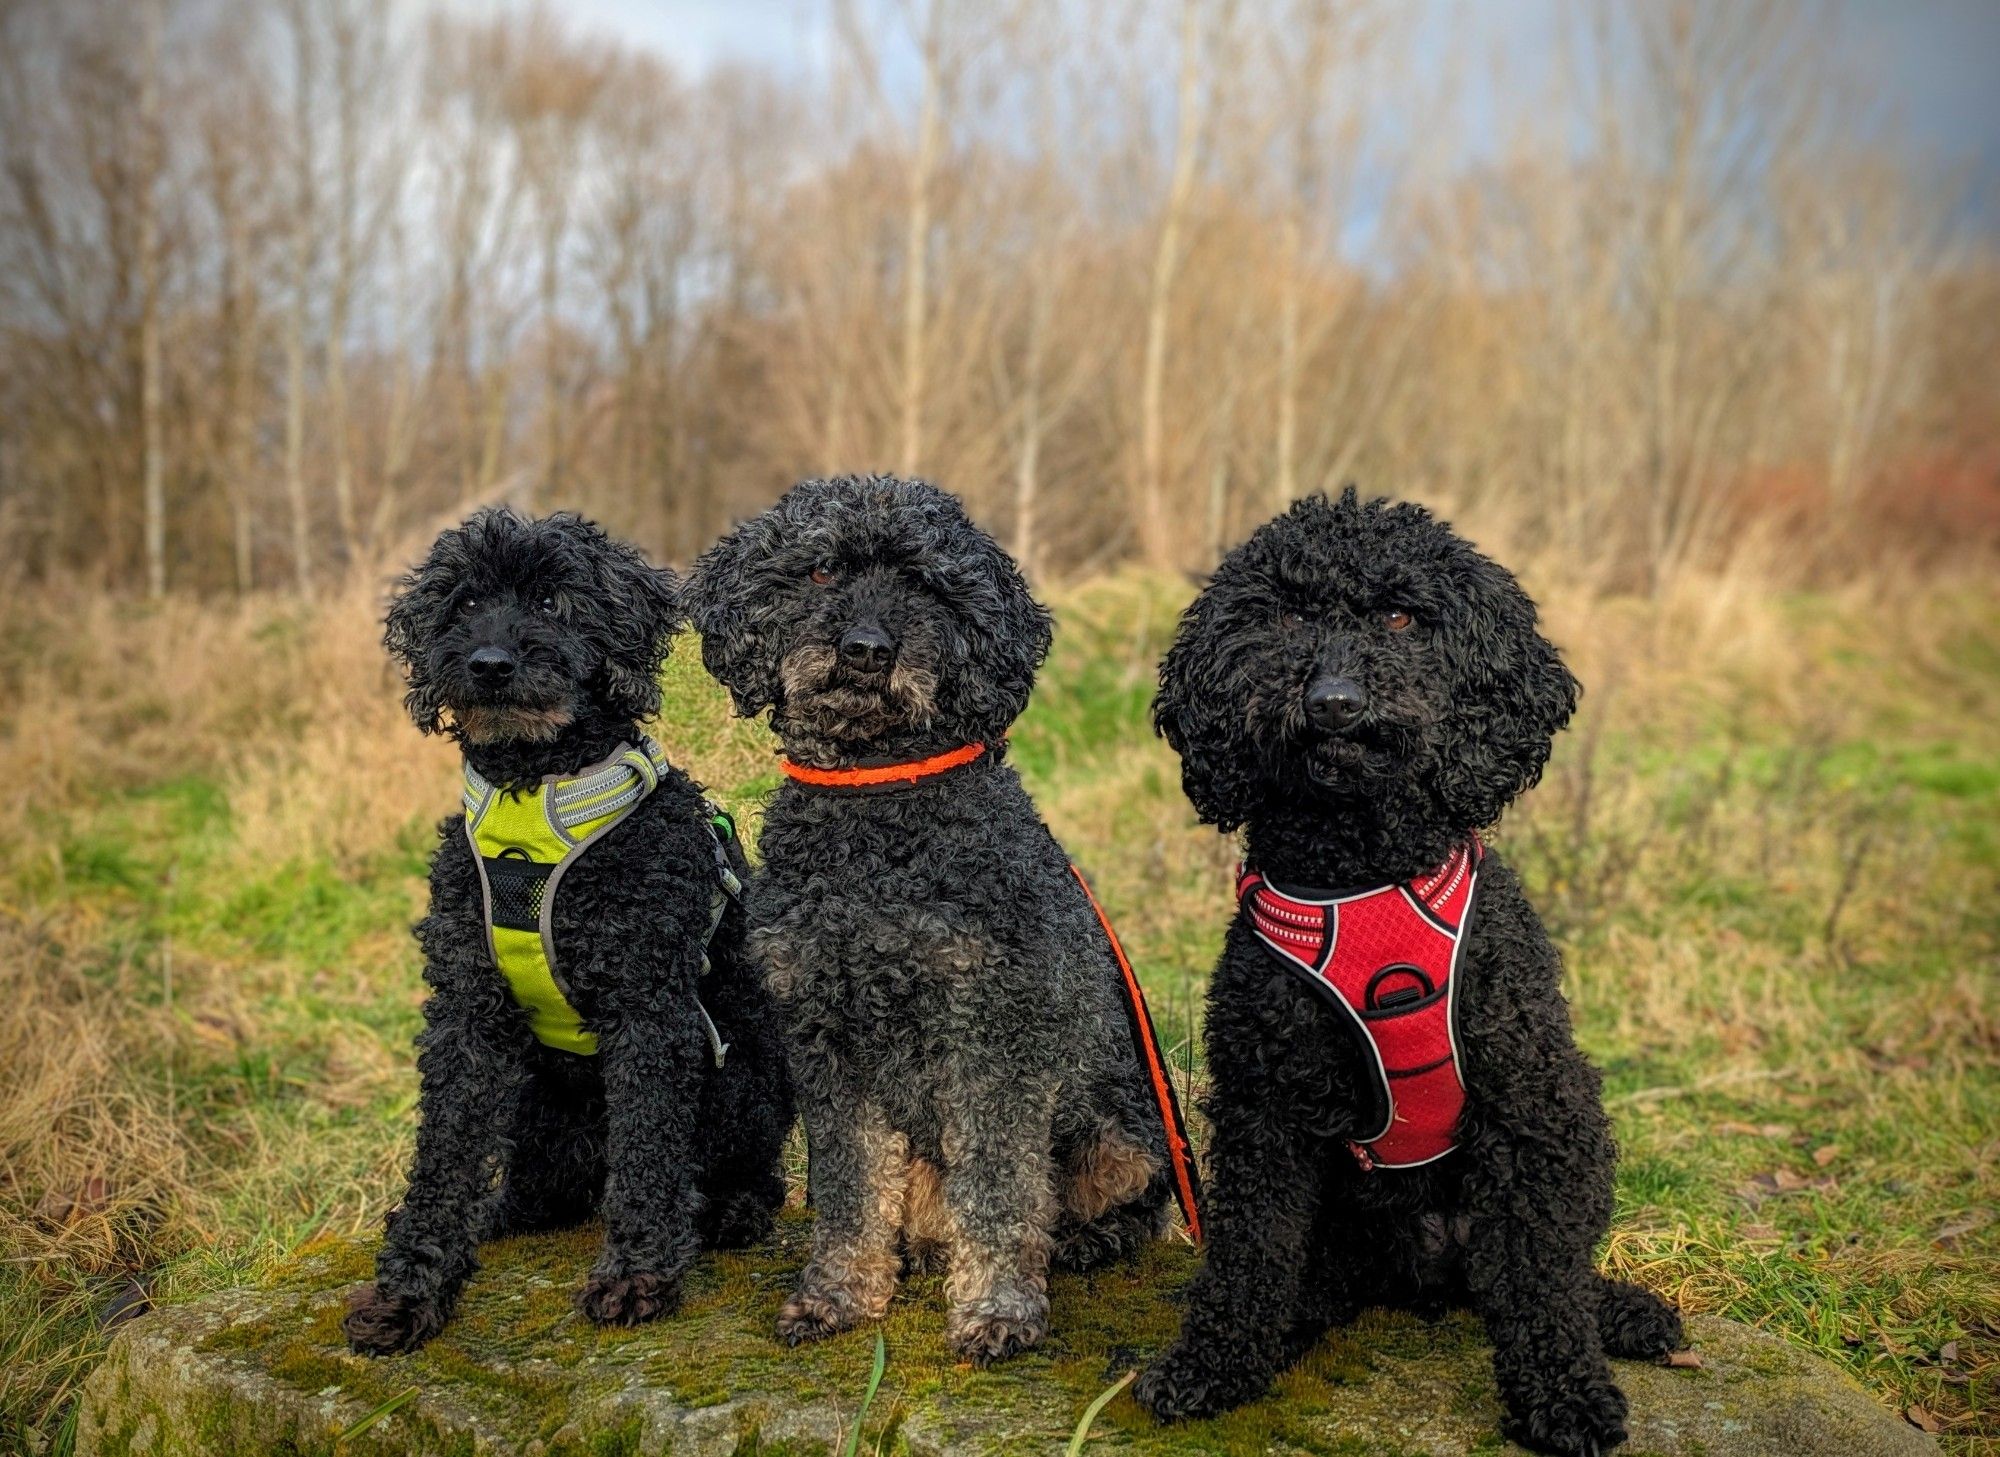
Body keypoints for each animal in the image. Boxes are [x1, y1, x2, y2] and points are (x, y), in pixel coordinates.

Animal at [344, 510, 788, 1352]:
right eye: (465, 602)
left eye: (553, 600)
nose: (488, 664)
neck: (534, 795)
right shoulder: (467, 1012)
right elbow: (445, 1152)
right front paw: (409, 1289)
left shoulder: (648, 1006)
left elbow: (647, 1152)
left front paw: (636, 1276)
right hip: (535, 1101)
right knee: (544, 1189)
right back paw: (501, 1211)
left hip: (739, 1080)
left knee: (749, 1174)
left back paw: (727, 1209)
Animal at [684, 474, 1200, 1368]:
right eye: (819, 570)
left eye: (925, 584)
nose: (865, 649)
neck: (878, 805)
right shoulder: (826, 1037)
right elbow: (852, 1185)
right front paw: (838, 1293)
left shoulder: (992, 1033)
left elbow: (999, 1185)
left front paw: (997, 1308)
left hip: (1124, 1125)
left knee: (1112, 1206)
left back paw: (1079, 1242)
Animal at [1136, 492, 1680, 1456]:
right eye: (1288, 617)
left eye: (1400, 617)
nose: (1335, 703)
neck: (1360, 873)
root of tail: (1427, 1274)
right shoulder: (1266, 1107)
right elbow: (1250, 1251)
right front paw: (1214, 1363)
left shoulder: (1528, 1098)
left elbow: (1541, 1276)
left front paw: (1567, 1396)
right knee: (1323, 1269)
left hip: (1579, 1129)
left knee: (1529, 1268)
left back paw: (1621, 1313)